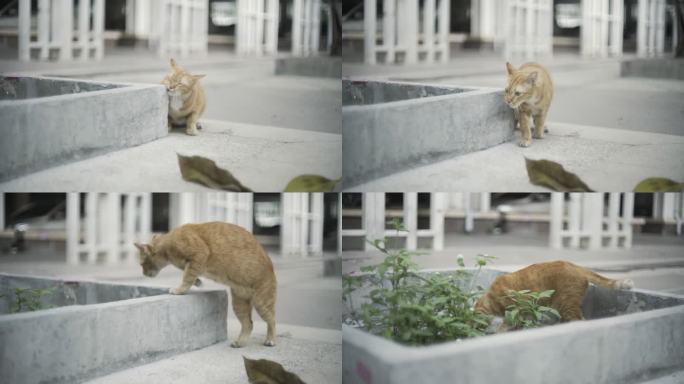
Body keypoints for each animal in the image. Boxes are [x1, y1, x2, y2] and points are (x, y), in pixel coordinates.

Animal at [135, 220, 276, 346]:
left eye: (142, 264)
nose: (143, 274)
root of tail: (271, 264)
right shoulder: (193, 263)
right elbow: (189, 274)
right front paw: (197, 282)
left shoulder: (199, 254)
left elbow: (187, 277)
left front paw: (180, 290)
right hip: (239, 304)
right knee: (249, 324)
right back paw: (239, 343)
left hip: (261, 302)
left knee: (272, 320)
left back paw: (270, 340)